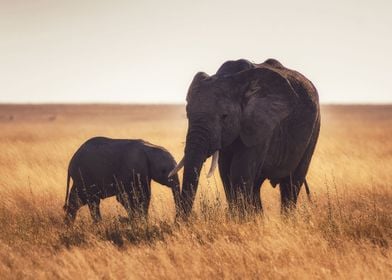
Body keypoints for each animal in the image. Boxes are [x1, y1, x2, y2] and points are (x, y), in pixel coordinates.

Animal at [170, 58, 320, 217]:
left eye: (224, 116)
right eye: (188, 114)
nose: (182, 220)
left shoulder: (261, 125)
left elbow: (239, 172)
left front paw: (241, 219)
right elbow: (226, 172)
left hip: (314, 129)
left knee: (291, 183)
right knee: (257, 185)